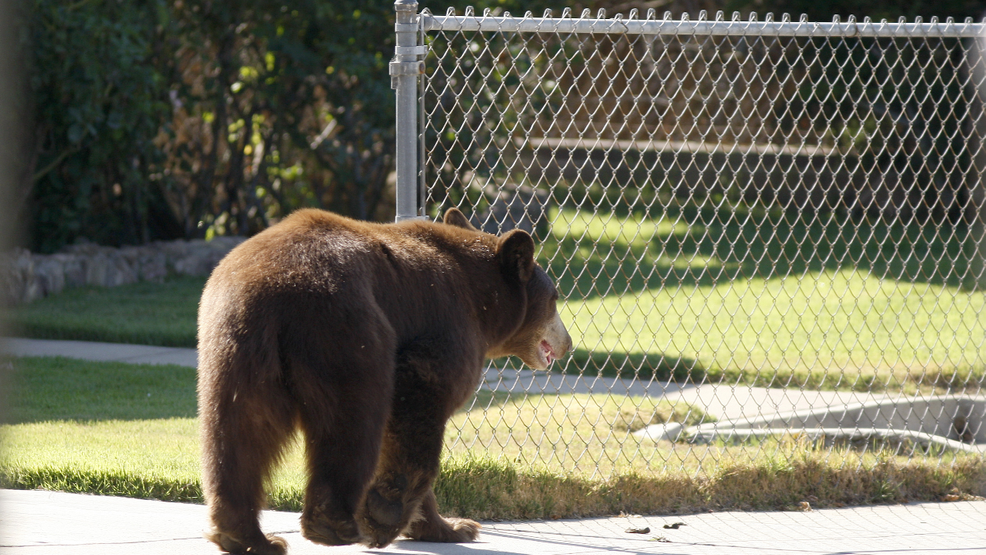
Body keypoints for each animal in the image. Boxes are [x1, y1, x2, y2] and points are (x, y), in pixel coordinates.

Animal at [197, 207, 572, 554]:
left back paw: (246, 536)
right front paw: (387, 514)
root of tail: (272, 287)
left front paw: (453, 526)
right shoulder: (447, 325)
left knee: (240, 432)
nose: (567, 343)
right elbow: (419, 403)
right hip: (345, 330)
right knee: (353, 419)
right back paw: (335, 525)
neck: (483, 303)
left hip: (235, 349)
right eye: (555, 298)